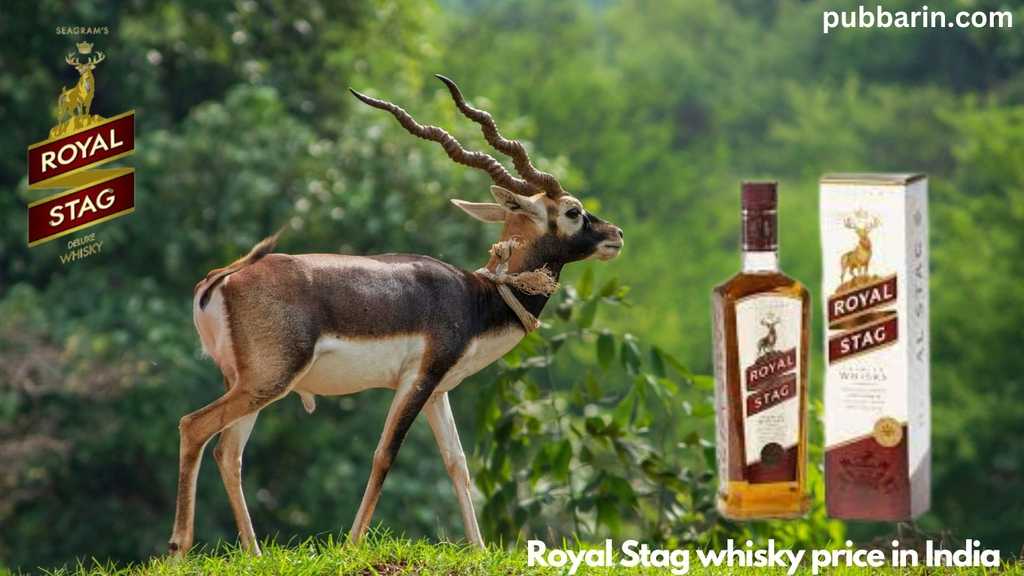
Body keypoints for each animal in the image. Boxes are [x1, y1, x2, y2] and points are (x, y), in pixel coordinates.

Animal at [167, 75, 624, 557]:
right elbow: (384, 454)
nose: (615, 234)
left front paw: (479, 550)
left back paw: (254, 554)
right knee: (194, 427)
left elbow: (457, 463)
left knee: (228, 452)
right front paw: (352, 546)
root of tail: (224, 279)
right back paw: (179, 547)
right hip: (268, 380)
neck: (478, 296)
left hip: (248, 383)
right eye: (573, 211)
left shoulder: (439, 390)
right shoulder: (416, 380)